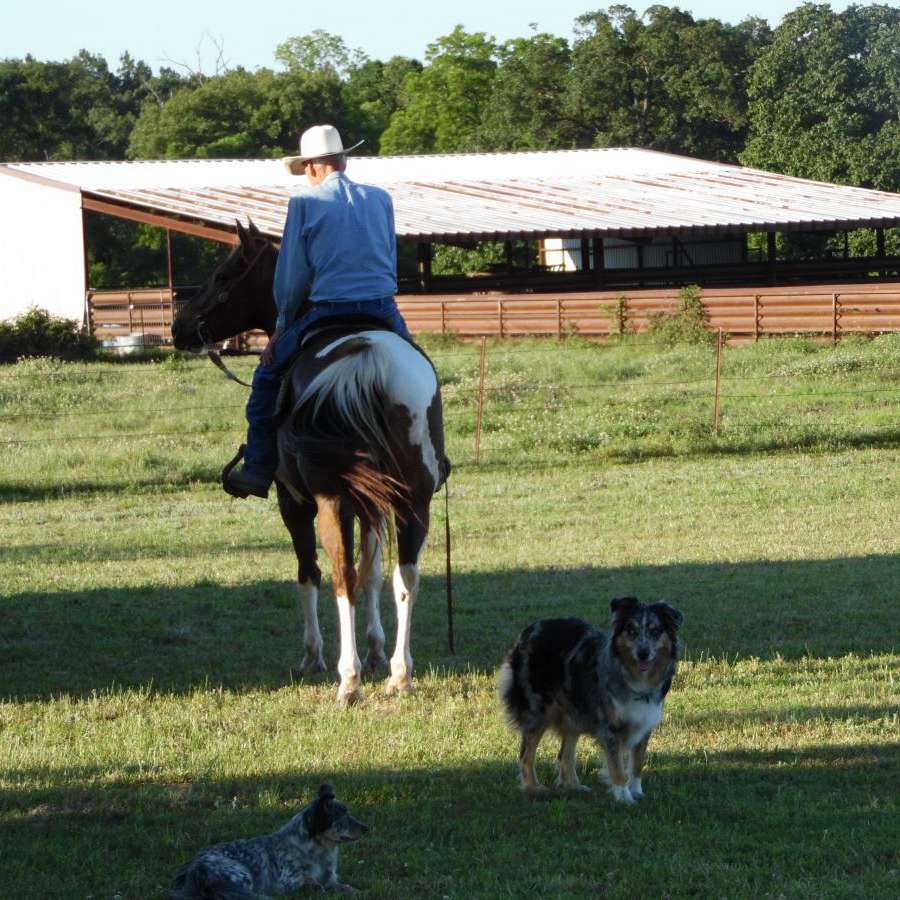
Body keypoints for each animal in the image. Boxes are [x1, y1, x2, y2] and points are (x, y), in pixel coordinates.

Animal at [171, 221, 446, 708]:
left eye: (223, 275)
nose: (178, 326)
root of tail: (368, 355)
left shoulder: (294, 499)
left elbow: (309, 573)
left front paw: (313, 655)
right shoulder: (370, 501)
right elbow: (375, 572)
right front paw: (376, 650)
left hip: (329, 498)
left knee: (339, 574)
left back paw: (347, 679)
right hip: (413, 499)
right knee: (405, 576)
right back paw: (399, 675)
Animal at [172, 784, 370, 896]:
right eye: (343, 816)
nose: (367, 828)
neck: (316, 850)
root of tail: (194, 869)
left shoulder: (331, 880)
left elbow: (347, 887)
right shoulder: (289, 882)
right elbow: (316, 885)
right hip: (243, 876)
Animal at [500, 596, 684, 800]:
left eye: (655, 631)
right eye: (631, 631)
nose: (643, 653)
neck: (634, 677)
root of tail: (527, 631)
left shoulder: (644, 724)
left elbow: (637, 763)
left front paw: (637, 792)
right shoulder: (610, 728)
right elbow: (617, 767)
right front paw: (624, 797)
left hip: (574, 712)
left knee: (564, 755)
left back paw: (573, 787)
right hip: (537, 712)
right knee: (526, 755)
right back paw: (533, 788)